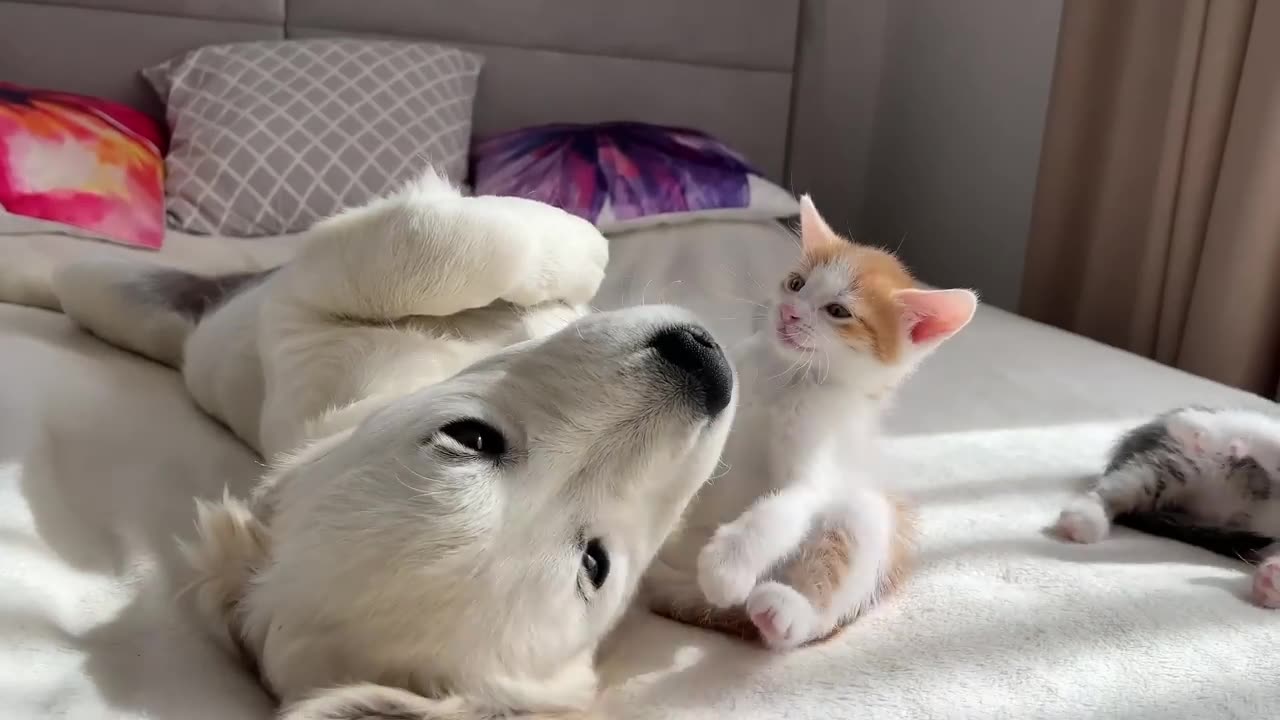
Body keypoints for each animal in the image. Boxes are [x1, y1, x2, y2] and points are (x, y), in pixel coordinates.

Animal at [645, 193, 972, 648]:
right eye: (797, 284)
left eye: (837, 311)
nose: (789, 313)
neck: (787, 381)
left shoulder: (818, 465)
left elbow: (782, 509)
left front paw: (728, 566)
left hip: (863, 512)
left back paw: (781, 613)